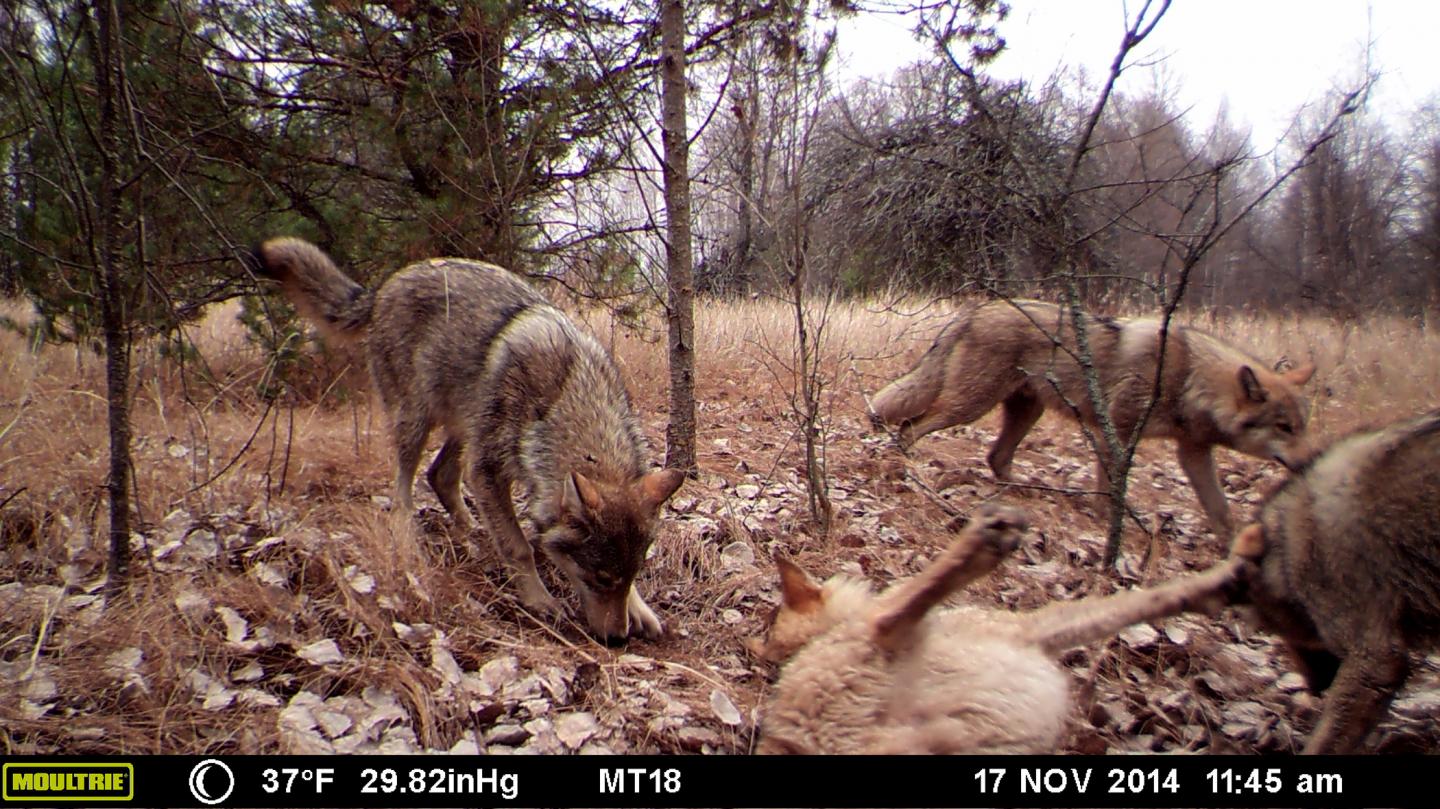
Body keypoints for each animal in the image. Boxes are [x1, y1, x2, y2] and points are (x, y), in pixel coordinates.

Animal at [250, 238, 685, 643]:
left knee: (439, 475)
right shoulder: (487, 470)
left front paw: (641, 611)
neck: (567, 396)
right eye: (600, 577)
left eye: (630, 575)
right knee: (404, 485)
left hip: (466, 425)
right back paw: (409, 533)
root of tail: (388, 282)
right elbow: (519, 547)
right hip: (418, 420)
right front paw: (538, 600)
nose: (617, 638)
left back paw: (471, 531)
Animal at [749, 504, 1261, 754]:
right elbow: (1127, 604)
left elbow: (1136, 602)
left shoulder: (1035, 630)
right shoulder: (1027, 627)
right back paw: (987, 535)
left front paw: (1221, 582)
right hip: (891, 648)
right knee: (895, 613)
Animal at [870, 300, 1315, 535]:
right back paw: (909, 469)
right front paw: (1107, 524)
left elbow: (1221, 510)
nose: (1311, 463)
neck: (1188, 376)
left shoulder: (1193, 452)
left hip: (1024, 411)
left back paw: (1028, 494)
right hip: (970, 406)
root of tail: (976, 309)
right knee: (910, 428)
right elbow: (1111, 486)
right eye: (1284, 428)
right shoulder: (1115, 433)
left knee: (996, 457)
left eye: (1301, 428)